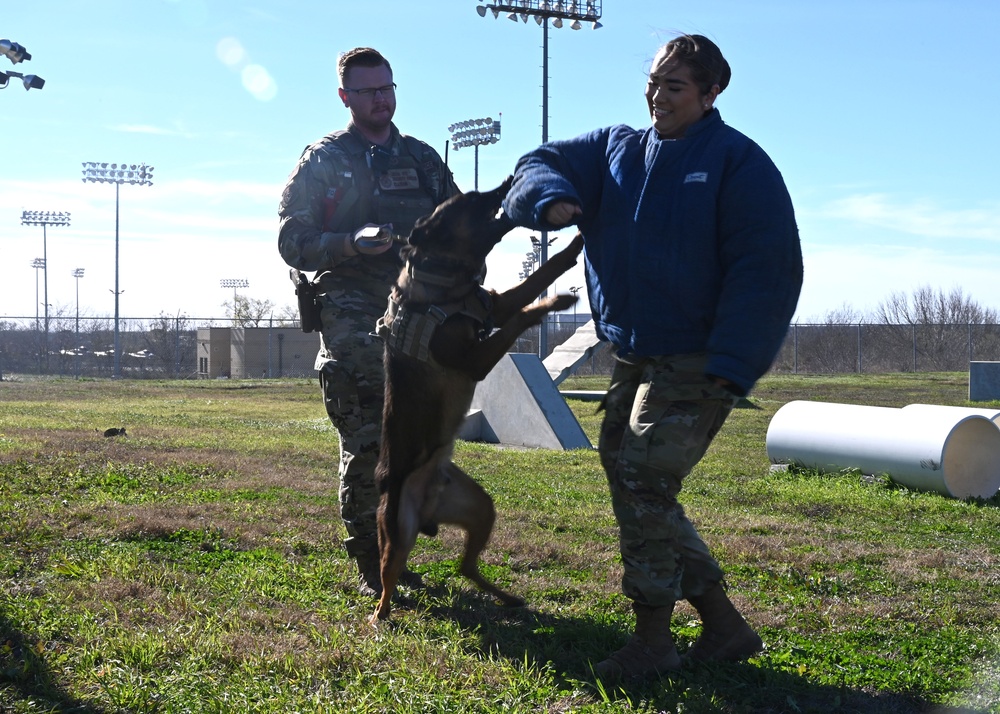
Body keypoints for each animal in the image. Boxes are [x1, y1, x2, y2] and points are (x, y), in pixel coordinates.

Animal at [372, 178, 584, 624]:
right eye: (469, 201)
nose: (506, 182)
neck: (440, 280)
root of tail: (428, 508)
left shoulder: (495, 303)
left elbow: (542, 275)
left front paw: (565, 274)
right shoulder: (477, 358)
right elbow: (519, 317)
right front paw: (549, 305)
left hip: (481, 509)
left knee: (465, 567)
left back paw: (509, 599)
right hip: (398, 531)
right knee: (388, 576)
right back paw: (380, 614)